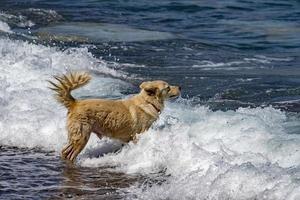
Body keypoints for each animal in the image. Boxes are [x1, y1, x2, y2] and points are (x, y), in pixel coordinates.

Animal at [48, 72, 180, 161]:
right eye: (168, 88)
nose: (180, 87)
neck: (148, 102)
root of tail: (75, 103)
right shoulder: (138, 135)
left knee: (64, 152)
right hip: (82, 136)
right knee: (70, 154)